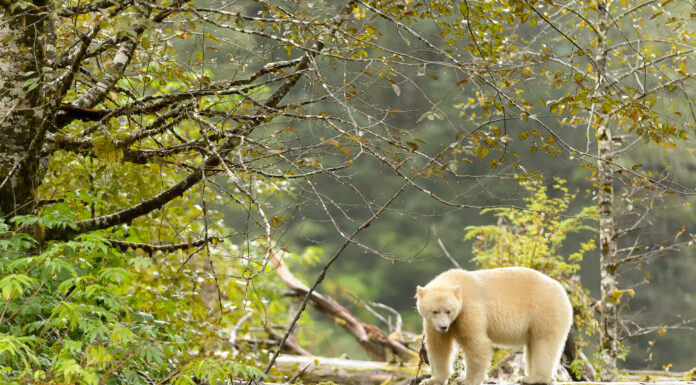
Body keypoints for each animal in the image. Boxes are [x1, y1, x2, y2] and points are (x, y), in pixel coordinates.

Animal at [416, 268, 572, 384]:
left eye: (449, 311)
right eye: (435, 311)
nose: (443, 327)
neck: (456, 281)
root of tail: (563, 292)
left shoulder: (468, 309)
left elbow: (476, 342)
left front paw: (466, 380)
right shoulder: (432, 323)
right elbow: (438, 347)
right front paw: (431, 380)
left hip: (545, 310)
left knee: (544, 342)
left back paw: (535, 378)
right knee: (533, 345)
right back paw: (527, 377)